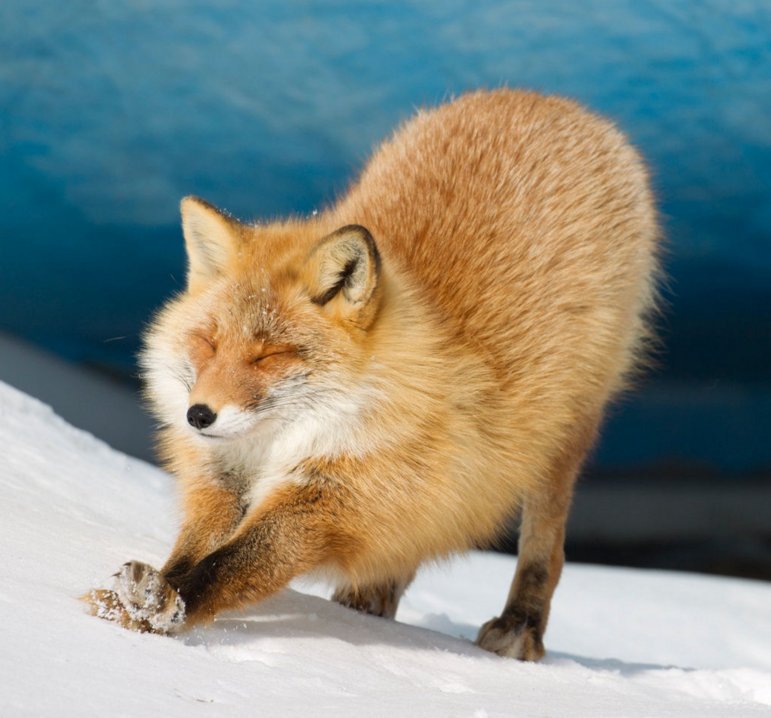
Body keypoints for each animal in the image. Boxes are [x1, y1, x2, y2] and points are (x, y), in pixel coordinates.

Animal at [84, 88, 660, 661]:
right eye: (209, 343)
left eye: (269, 355)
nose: (198, 415)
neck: (277, 445)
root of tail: (542, 98)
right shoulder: (223, 477)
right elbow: (189, 552)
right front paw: (140, 597)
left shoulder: (335, 499)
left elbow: (231, 564)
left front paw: (165, 609)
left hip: (561, 442)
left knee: (546, 550)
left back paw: (521, 627)